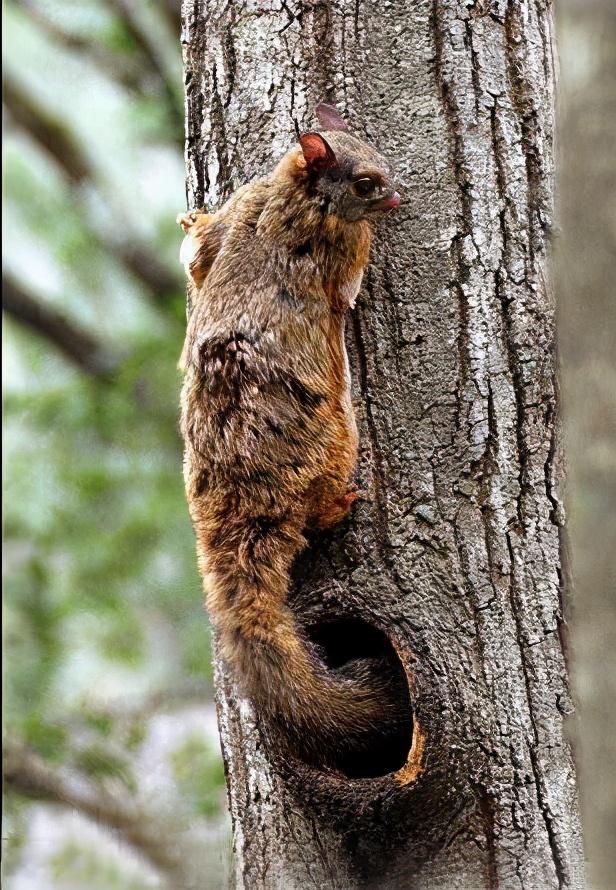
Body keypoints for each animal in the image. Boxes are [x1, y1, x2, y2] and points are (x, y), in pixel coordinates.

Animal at [178, 104, 406, 768]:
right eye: (366, 184)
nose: (399, 197)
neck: (293, 194)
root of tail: (239, 499)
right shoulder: (345, 247)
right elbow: (347, 290)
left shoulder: (242, 203)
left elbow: (199, 253)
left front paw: (193, 225)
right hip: (335, 440)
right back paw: (341, 503)